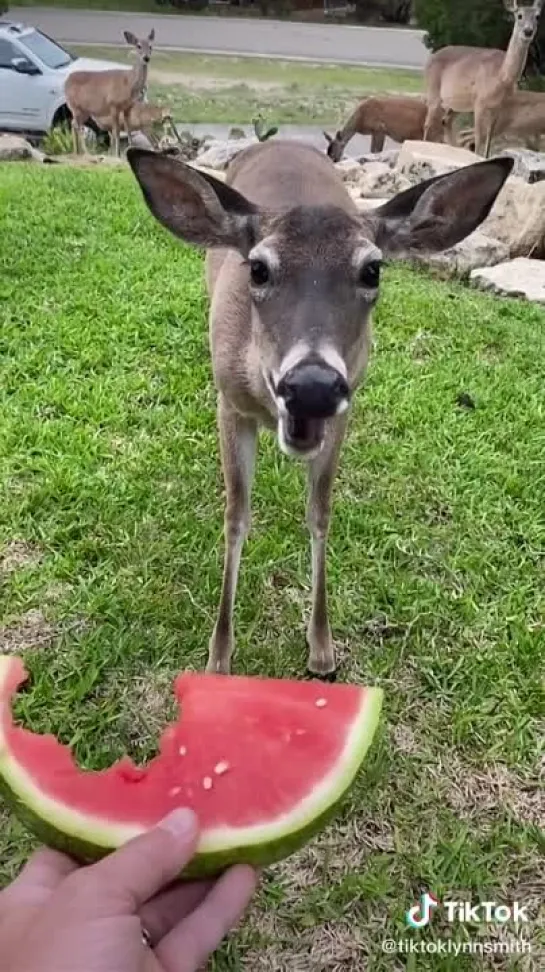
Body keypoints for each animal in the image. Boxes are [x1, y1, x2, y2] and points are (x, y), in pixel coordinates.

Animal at [65, 28, 157, 158]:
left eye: (150, 46)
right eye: (138, 46)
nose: (146, 58)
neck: (128, 82)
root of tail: (66, 82)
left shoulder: (127, 107)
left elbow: (128, 129)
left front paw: (130, 149)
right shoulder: (113, 105)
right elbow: (116, 131)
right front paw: (116, 154)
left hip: (84, 111)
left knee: (73, 124)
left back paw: (76, 152)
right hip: (75, 106)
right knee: (78, 126)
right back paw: (87, 153)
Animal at [126, 142, 510, 676]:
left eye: (372, 269)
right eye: (258, 268)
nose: (312, 386)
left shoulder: (345, 411)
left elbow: (320, 513)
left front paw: (322, 647)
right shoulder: (229, 402)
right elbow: (236, 516)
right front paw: (219, 655)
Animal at [420, 1, 540, 157]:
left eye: (537, 16)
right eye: (519, 15)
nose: (528, 31)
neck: (501, 77)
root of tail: (430, 59)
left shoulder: (499, 107)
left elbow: (489, 138)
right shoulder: (479, 102)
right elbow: (478, 136)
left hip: (457, 103)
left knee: (446, 121)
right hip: (433, 91)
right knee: (428, 124)